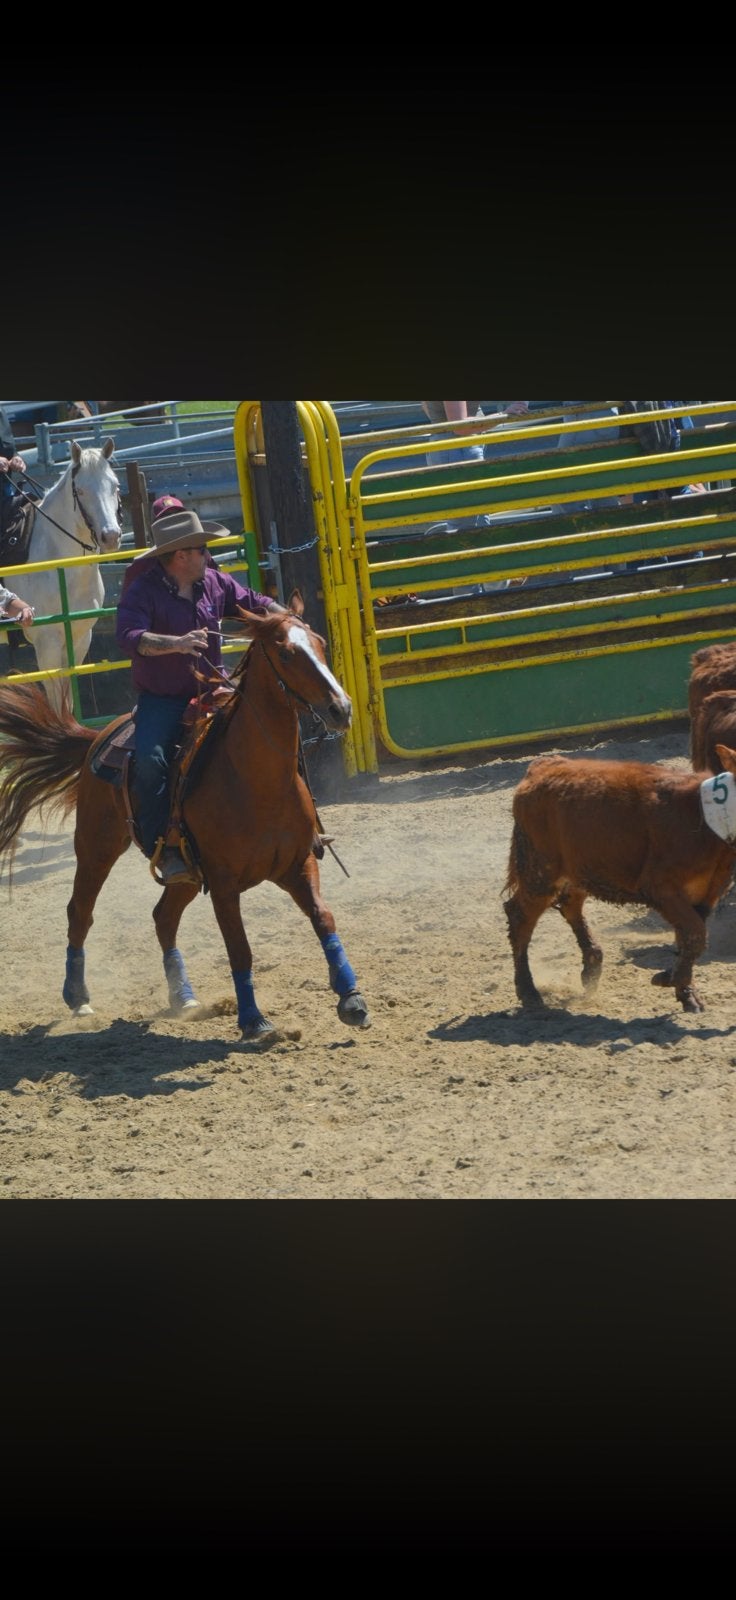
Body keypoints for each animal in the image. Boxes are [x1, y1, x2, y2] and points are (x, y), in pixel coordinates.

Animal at [0, 598, 370, 1040]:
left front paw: (351, 998)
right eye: (285, 653)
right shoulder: (224, 883)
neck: (257, 780)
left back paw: (184, 996)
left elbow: (323, 919)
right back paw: (78, 996)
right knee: (80, 911)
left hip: (185, 873)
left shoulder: (298, 864)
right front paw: (253, 1020)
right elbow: (239, 949)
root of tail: (98, 736)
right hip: (96, 846)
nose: (341, 708)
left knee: (163, 917)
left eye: (321, 643)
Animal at [9, 439, 122, 715]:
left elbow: (68, 699)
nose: (111, 536)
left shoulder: (79, 638)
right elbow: (56, 704)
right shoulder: (47, 645)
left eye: (115, 485)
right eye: (80, 491)